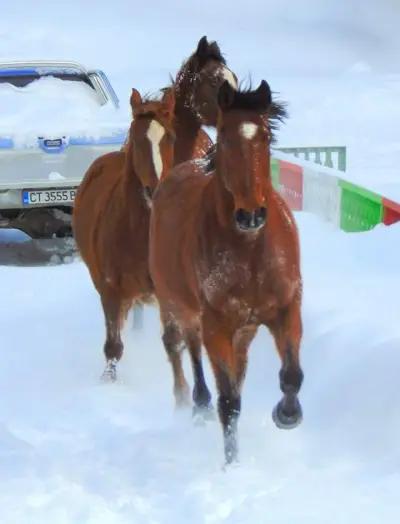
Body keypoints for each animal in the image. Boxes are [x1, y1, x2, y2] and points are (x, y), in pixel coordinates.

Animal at [149, 81, 304, 462]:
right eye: (223, 135)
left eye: (265, 135)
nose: (251, 214)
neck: (249, 251)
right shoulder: (216, 323)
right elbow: (229, 403)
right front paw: (231, 465)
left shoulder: (286, 307)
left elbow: (291, 374)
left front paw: (287, 415)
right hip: (180, 307)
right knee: (185, 348)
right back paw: (196, 404)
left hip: (242, 330)